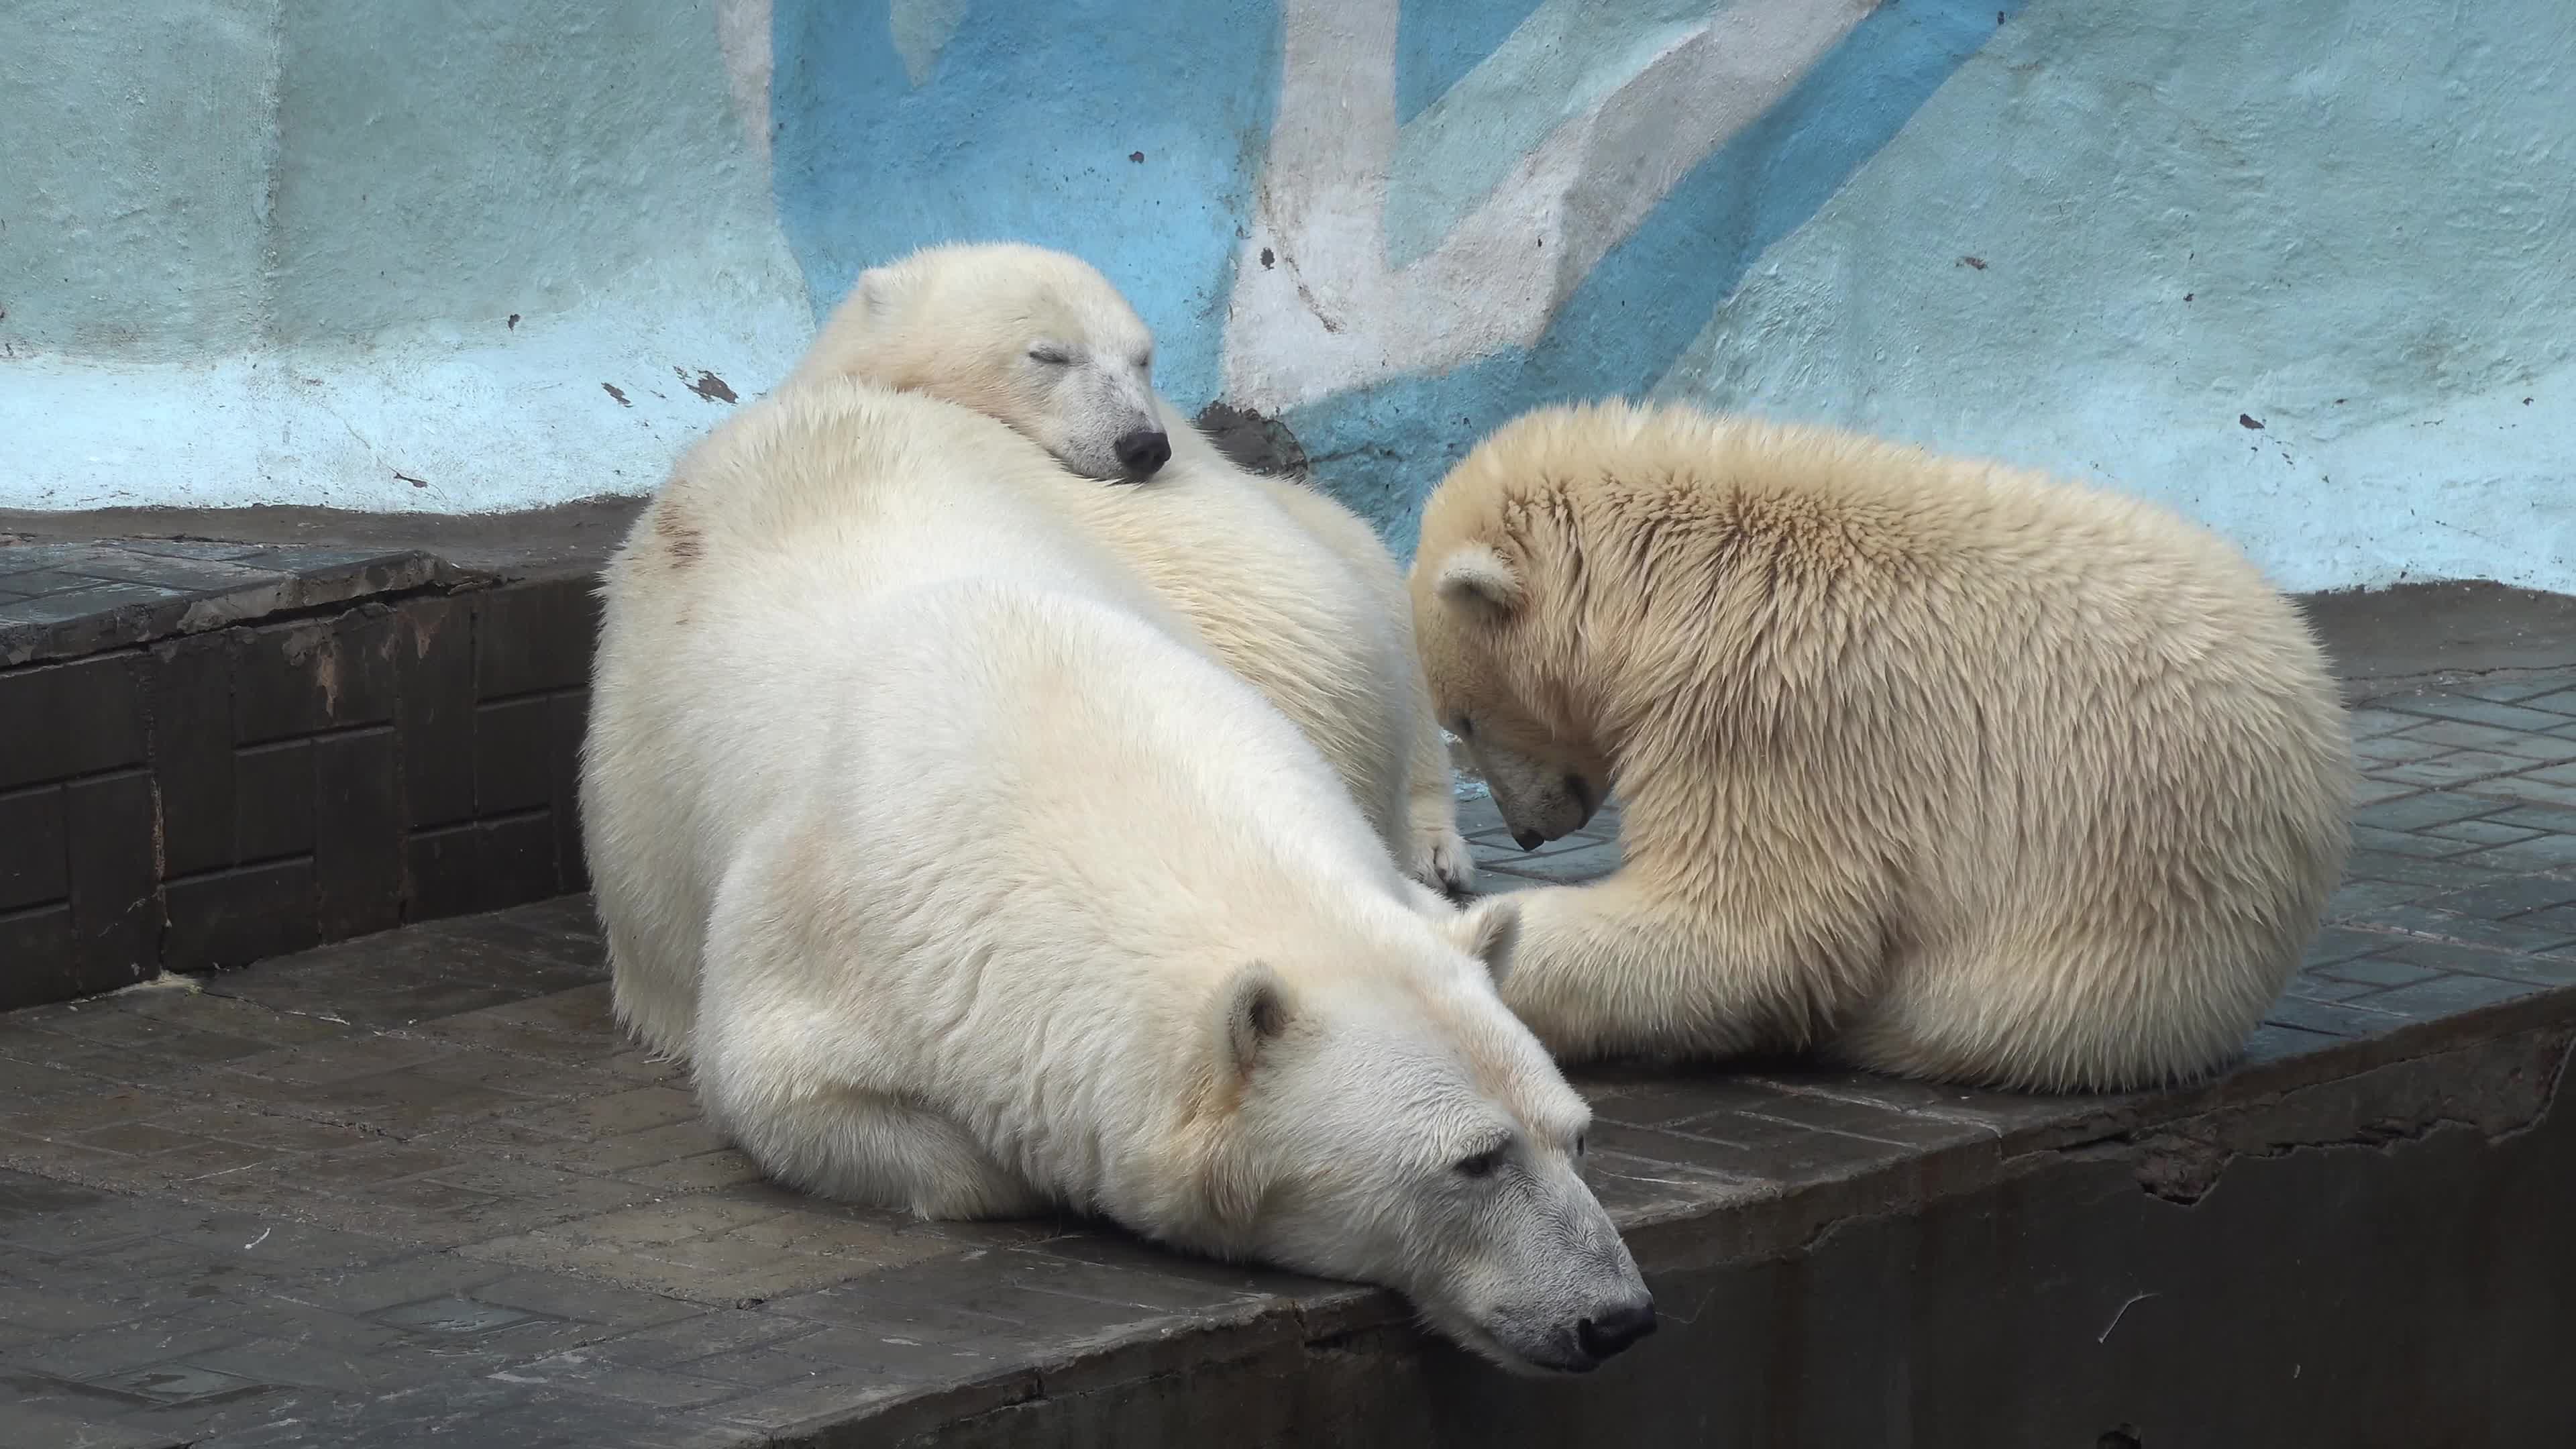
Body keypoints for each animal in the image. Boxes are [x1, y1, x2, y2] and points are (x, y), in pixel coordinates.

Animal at [1411, 399, 2359, 1087]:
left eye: (1462, 719)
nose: (1527, 831)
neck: (1683, 577)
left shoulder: (1774, 705)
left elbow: (1745, 929)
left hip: (2088, 949)